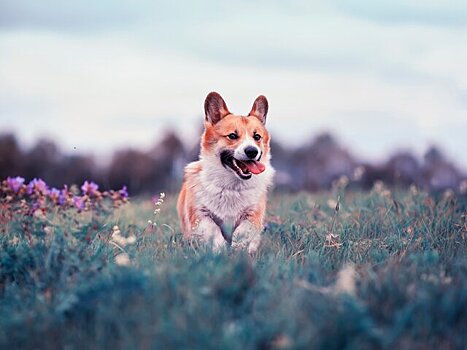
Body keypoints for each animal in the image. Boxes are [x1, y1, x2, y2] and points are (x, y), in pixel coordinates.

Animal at [178, 91, 274, 253]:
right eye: (232, 136)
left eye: (257, 137)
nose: (252, 151)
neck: (232, 186)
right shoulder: (200, 214)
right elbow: (213, 230)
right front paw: (220, 249)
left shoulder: (253, 214)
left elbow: (242, 231)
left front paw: (237, 249)